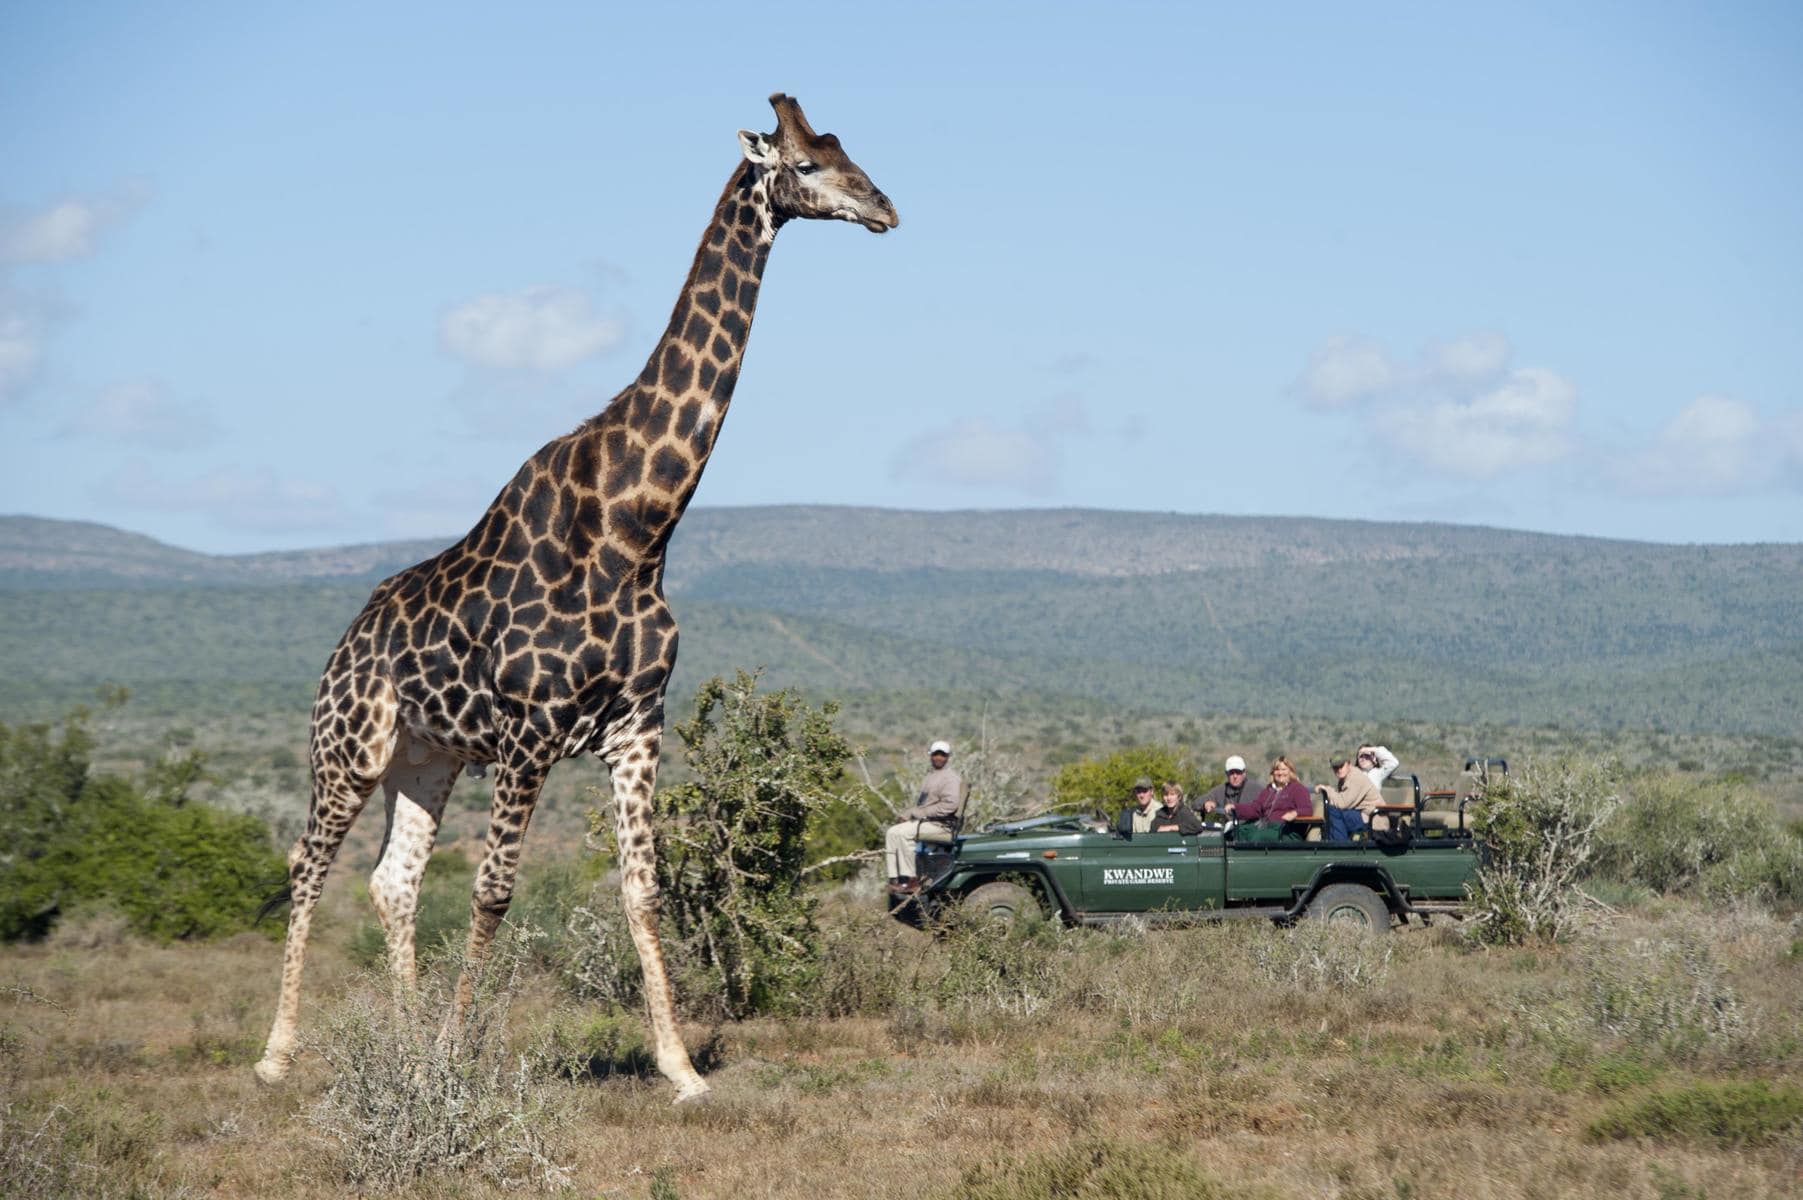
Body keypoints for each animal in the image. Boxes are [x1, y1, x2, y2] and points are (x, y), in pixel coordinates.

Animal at [253, 93, 897, 1101]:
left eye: (847, 153)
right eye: (803, 163)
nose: (884, 207)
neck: (637, 528)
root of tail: (348, 640)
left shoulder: (636, 724)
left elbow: (643, 889)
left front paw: (680, 1069)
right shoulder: (529, 733)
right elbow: (494, 893)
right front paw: (455, 1058)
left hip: (427, 760)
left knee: (393, 882)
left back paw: (401, 1046)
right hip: (349, 749)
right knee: (307, 863)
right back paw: (280, 1055)